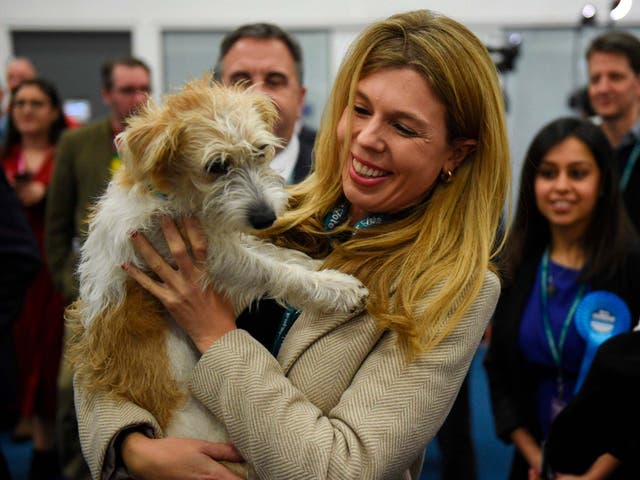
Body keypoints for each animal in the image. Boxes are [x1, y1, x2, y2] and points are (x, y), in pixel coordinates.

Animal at [67, 77, 368, 474]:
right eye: (217, 166)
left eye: (260, 151)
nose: (266, 218)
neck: (177, 196)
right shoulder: (214, 260)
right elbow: (271, 269)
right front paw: (335, 286)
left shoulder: (222, 240)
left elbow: (275, 253)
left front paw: (319, 264)